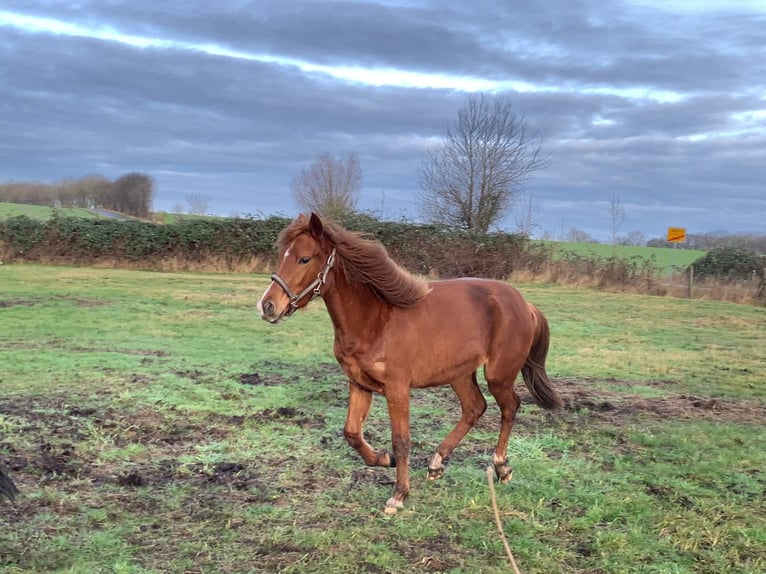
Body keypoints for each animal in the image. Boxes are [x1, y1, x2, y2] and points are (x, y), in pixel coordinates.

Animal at [258, 214, 564, 516]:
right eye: (282, 255)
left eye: (304, 259)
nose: (267, 307)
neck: (374, 319)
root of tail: (525, 304)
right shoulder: (359, 384)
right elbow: (352, 433)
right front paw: (385, 458)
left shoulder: (397, 389)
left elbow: (401, 439)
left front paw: (398, 495)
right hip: (460, 374)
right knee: (474, 408)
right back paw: (437, 463)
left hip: (498, 374)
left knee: (509, 407)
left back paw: (501, 466)